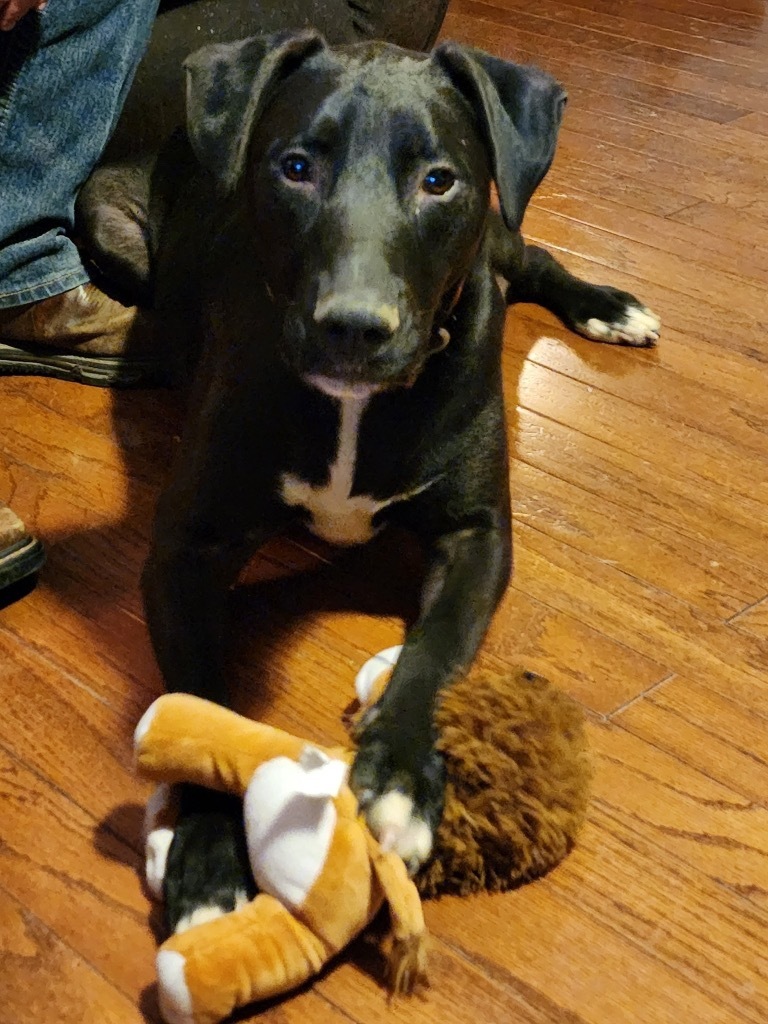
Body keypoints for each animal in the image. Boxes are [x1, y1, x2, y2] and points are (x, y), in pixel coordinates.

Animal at [82, 32, 663, 933]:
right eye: (294, 167)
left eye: (438, 180)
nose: (354, 327)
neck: (355, 406)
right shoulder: (185, 548)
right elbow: (203, 705)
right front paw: (208, 860)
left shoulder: (477, 533)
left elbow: (434, 650)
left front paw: (397, 780)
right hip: (103, 220)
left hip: (497, 235)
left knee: (529, 257)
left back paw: (607, 304)